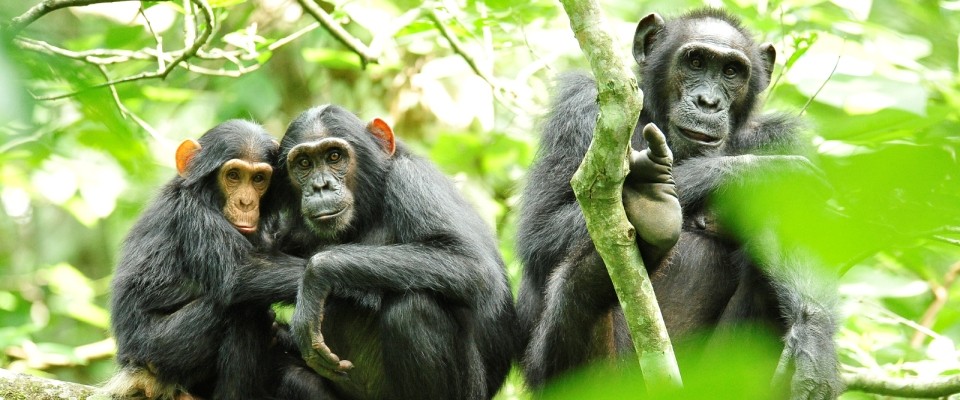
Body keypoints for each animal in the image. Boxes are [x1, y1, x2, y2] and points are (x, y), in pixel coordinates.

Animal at [107, 119, 328, 400]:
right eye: (233, 175)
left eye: (258, 178)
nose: (246, 202)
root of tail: (134, 371)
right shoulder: (193, 215)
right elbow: (239, 272)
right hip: (157, 350)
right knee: (243, 308)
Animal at [272, 104, 516, 398]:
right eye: (304, 163)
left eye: (334, 156)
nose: (321, 186)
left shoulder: (413, 181)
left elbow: (473, 265)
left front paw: (314, 279)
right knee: (292, 377)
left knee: (412, 309)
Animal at [516, 7, 840, 398]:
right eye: (695, 61)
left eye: (731, 71)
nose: (708, 102)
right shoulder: (578, 108)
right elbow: (542, 230)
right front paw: (754, 173)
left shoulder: (780, 138)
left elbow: (800, 231)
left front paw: (814, 338)